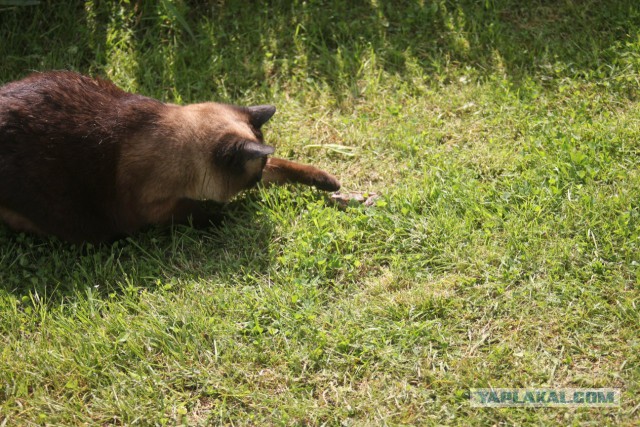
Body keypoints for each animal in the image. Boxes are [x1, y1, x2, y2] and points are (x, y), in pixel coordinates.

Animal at [0, 72, 340, 242]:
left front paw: (330, 183)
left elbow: (285, 166)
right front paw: (236, 213)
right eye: (252, 178)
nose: (255, 185)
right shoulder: (157, 209)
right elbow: (209, 212)